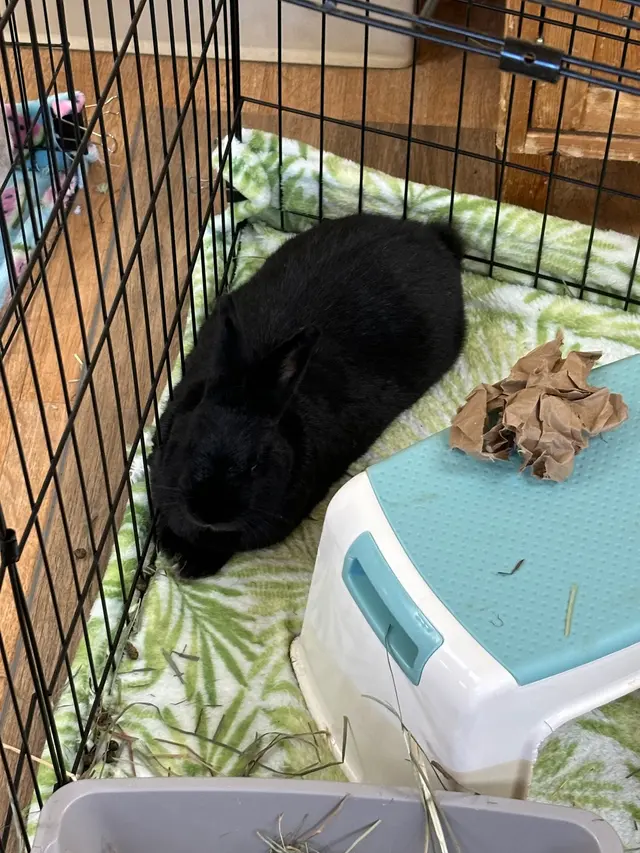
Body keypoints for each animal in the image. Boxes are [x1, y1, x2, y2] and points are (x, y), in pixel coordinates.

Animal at [149, 213, 465, 579]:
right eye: (189, 444)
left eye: (255, 464)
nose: (210, 511)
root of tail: (431, 236)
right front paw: (171, 546)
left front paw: (191, 563)